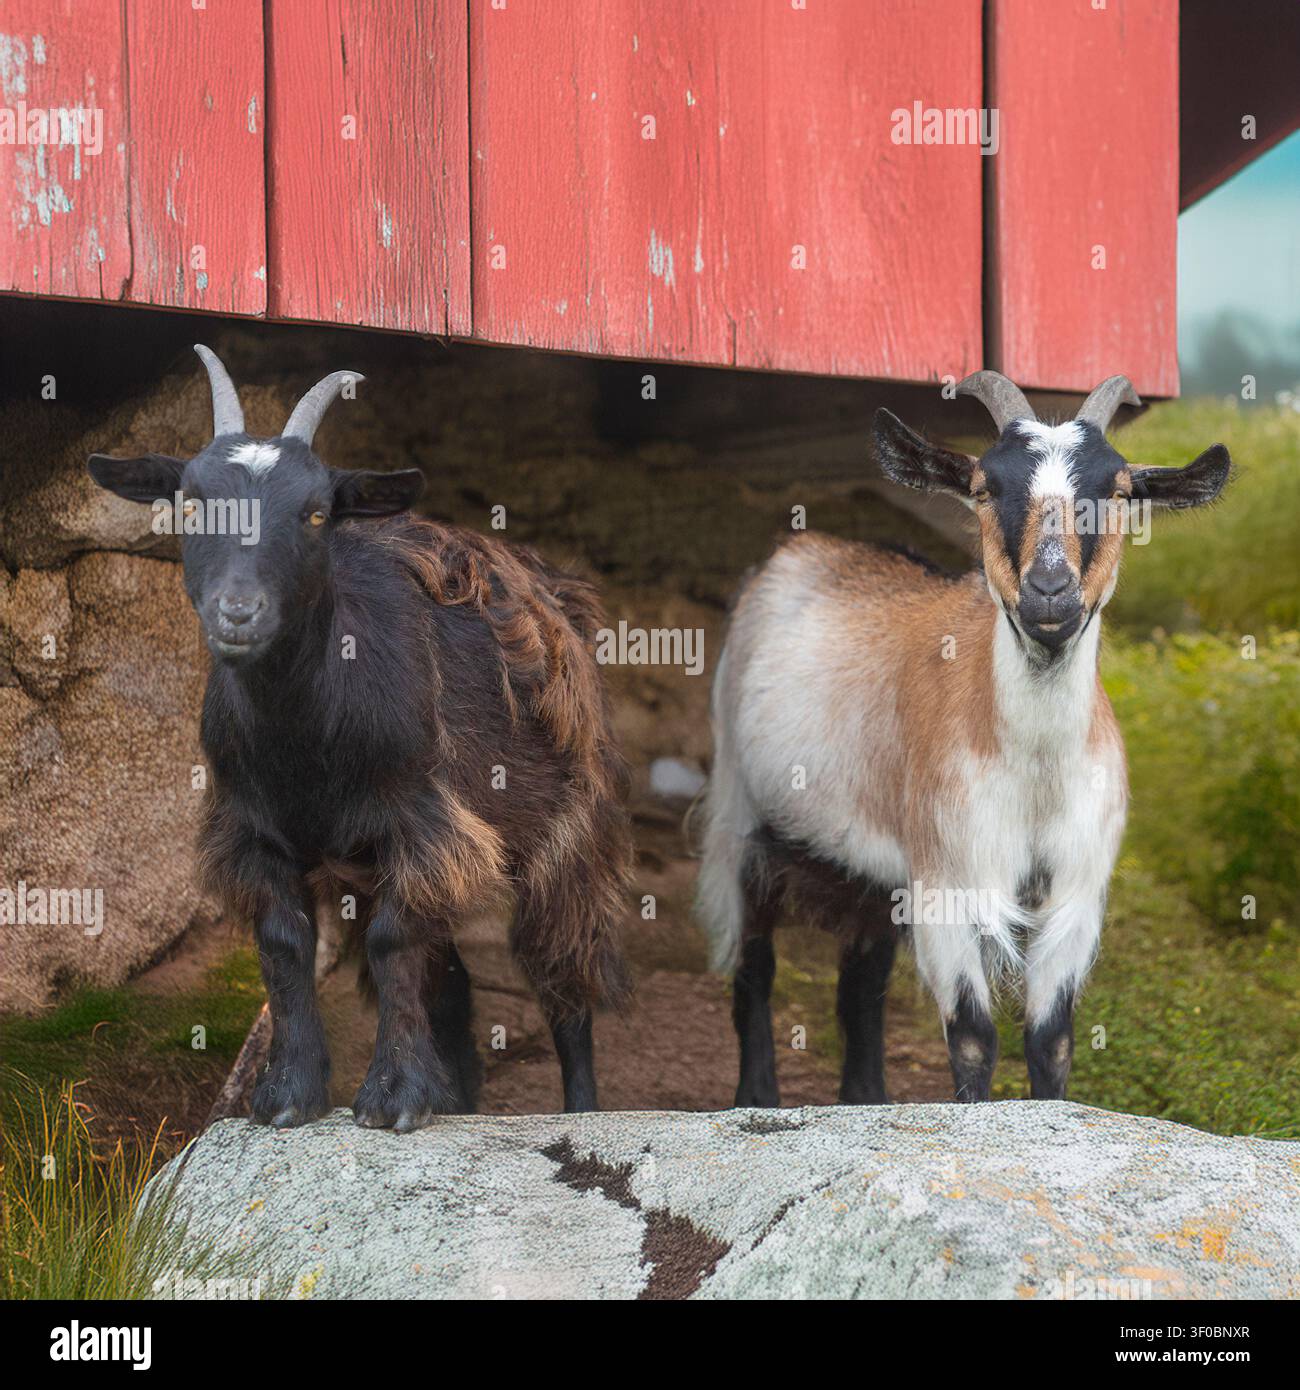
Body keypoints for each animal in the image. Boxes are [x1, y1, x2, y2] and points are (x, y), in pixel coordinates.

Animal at [88, 346, 631, 1129]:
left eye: (316, 512)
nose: (239, 612)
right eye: (190, 503)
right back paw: (455, 1095)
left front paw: (392, 1101)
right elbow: (286, 945)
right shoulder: (255, 834)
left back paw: (578, 1111)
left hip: (571, 828)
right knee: (452, 980)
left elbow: (391, 944)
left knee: (563, 975)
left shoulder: (422, 824)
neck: (303, 741)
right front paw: (289, 1095)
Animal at [696, 372, 1231, 1105]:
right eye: (983, 487)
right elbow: (974, 1037)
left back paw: (866, 1098)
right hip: (743, 809)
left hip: (872, 865)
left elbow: (1051, 1041)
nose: (1049, 591)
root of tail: (798, 553)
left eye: (1121, 492)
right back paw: (756, 1097)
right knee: (755, 964)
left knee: (860, 984)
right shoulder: (949, 876)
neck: (1034, 769)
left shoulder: (1076, 887)